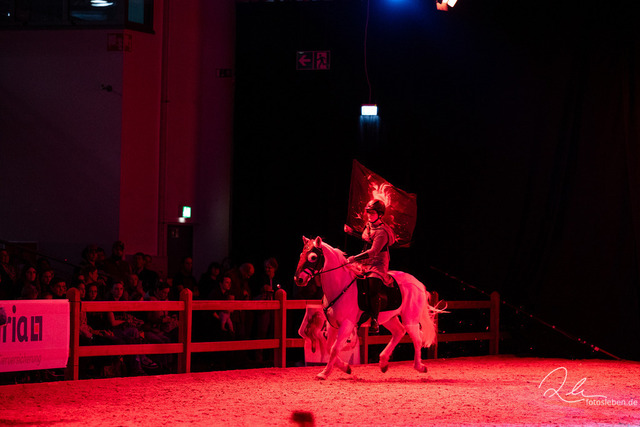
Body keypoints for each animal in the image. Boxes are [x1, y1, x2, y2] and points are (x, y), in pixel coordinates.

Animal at [294, 236, 438, 380]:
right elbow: (330, 347)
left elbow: (335, 348)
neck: (341, 286)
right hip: (389, 318)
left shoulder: (347, 325)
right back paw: (383, 362)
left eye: (313, 257)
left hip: (410, 318)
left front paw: (324, 373)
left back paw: (419, 366)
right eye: (301, 255)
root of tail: (418, 283)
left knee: (417, 338)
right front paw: (345, 367)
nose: (298, 279)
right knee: (399, 332)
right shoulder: (332, 325)